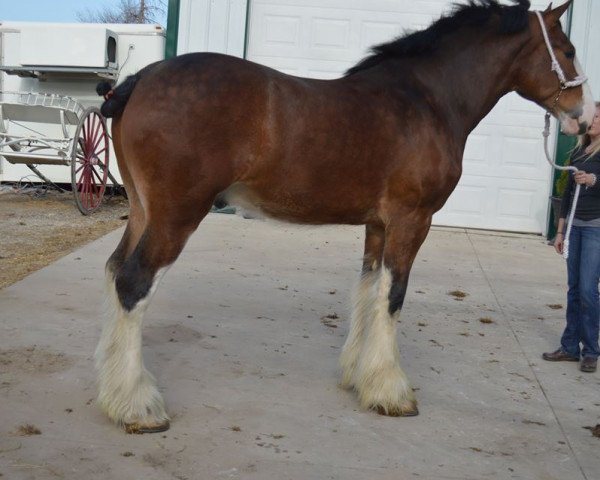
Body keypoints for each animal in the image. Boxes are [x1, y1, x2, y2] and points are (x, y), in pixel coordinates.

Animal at [95, 0, 596, 434]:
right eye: (568, 51)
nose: (586, 119)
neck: (428, 99)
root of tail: (140, 80)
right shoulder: (412, 220)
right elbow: (393, 296)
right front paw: (392, 392)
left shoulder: (378, 224)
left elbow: (368, 289)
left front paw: (360, 377)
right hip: (175, 215)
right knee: (134, 282)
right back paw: (138, 406)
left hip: (142, 210)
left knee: (115, 270)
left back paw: (113, 387)